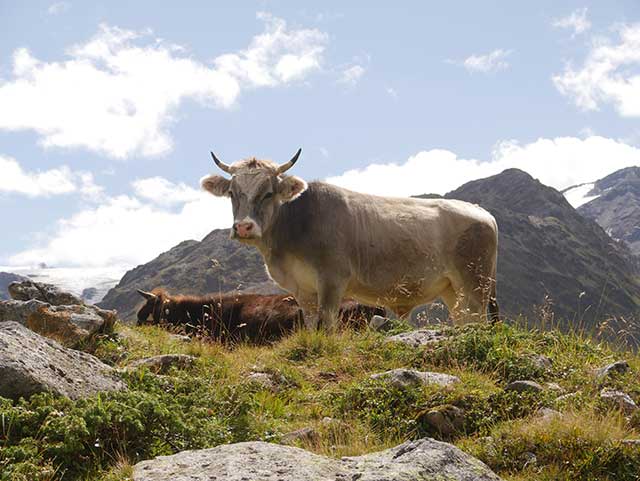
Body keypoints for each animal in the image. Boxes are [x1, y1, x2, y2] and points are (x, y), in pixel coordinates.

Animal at [201, 149, 500, 330]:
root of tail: (481, 212)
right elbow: (310, 325)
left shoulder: (332, 281)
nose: (243, 227)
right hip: (453, 291)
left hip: (475, 286)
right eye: (232, 193)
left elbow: (326, 326)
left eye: (268, 193)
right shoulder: (302, 290)